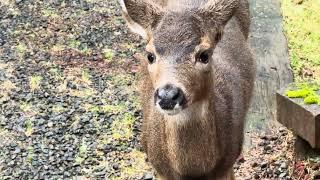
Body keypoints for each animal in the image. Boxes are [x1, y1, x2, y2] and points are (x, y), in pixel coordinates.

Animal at [119, 0, 255, 179]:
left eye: (204, 55)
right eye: (150, 55)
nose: (168, 96)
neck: (193, 171)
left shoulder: (227, 164)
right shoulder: (160, 170)